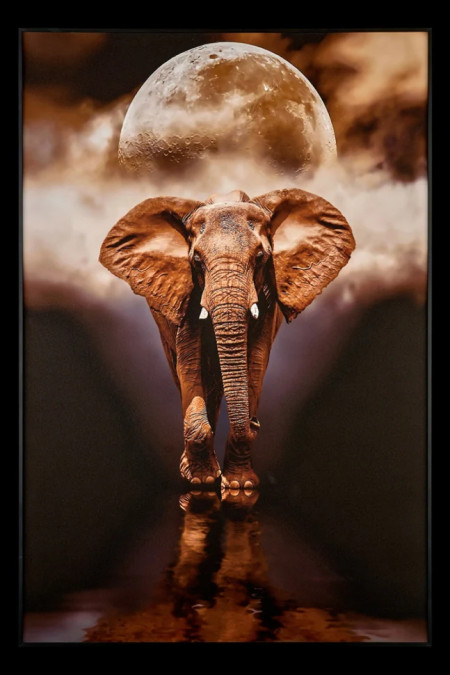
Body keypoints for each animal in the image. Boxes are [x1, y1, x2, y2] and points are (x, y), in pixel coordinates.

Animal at [99, 188, 355, 489]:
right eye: (197, 260)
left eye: (260, 257)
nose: (255, 422)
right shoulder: (188, 292)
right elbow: (190, 362)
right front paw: (202, 481)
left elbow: (255, 360)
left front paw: (238, 486)